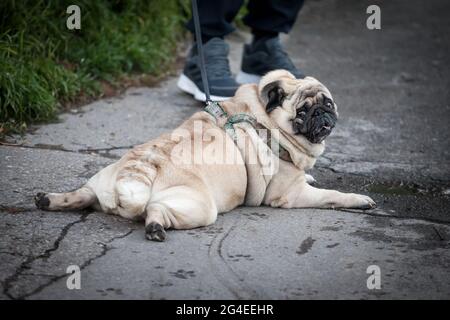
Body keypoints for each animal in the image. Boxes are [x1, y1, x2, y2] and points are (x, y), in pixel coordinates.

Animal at [33, 69, 374, 240]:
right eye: (302, 112)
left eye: (327, 102)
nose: (322, 114)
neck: (266, 121)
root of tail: (144, 164)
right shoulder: (290, 194)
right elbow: (332, 195)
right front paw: (357, 200)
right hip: (198, 207)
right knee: (156, 209)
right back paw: (155, 227)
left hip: (100, 182)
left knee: (82, 195)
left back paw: (48, 200)